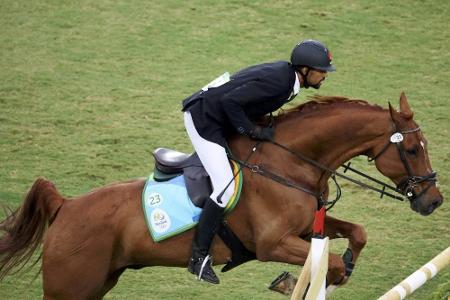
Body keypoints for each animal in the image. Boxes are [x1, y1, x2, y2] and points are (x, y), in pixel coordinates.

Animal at [0, 92, 442, 298]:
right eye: (412, 149)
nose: (433, 200)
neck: (289, 163)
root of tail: (66, 206)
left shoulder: (306, 228)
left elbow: (356, 235)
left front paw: (344, 266)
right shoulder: (273, 243)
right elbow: (327, 262)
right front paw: (294, 282)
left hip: (98, 283)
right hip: (69, 288)